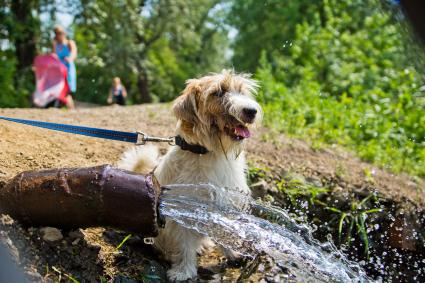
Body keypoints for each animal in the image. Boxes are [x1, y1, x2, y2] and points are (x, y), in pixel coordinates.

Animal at [117, 69, 260, 282]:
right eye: (218, 92)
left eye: (241, 91)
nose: (251, 111)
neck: (209, 153)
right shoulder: (183, 210)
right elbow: (184, 245)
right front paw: (184, 271)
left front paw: (233, 255)